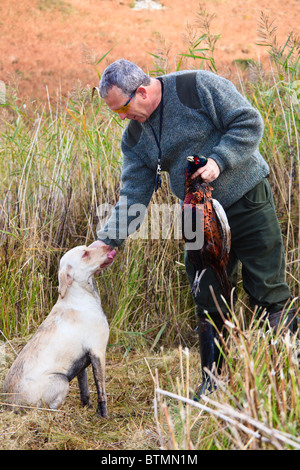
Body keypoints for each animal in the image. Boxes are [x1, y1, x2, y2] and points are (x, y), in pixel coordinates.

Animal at [3, 241, 116, 416]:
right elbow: (101, 391)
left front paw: (87, 406)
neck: (80, 297)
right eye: (85, 254)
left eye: (88, 247)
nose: (109, 246)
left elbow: (85, 389)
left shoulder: (83, 362)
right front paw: (103, 415)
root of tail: (9, 404)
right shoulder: (98, 352)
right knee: (49, 407)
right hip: (61, 379)